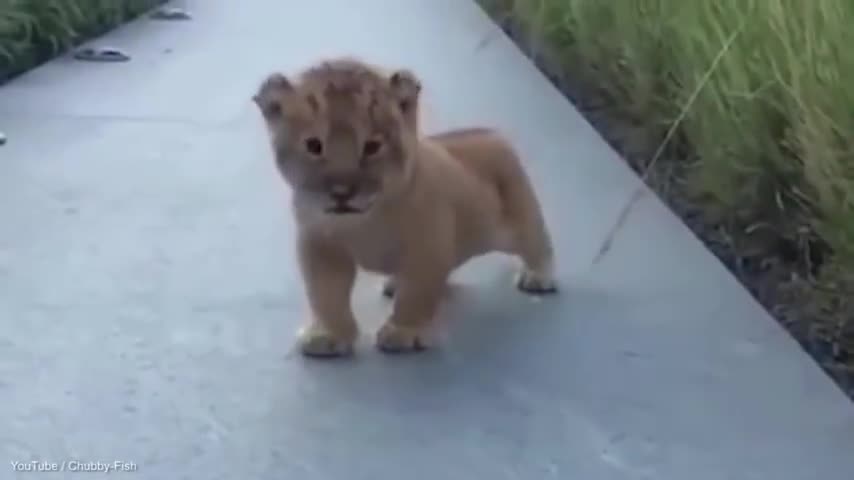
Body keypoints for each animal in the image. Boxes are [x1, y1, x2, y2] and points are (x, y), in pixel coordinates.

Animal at [252, 57, 560, 356]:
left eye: (372, 146)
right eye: (314, 145)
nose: (342, 193)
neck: (361, 222)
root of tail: (488, 132)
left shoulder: (427, 247)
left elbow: (417, 294)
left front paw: (403, 333)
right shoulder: (320, 246)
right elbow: (326, 294)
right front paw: (328, 336)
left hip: (518, 220)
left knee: (537, 243)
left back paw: (538, 277)